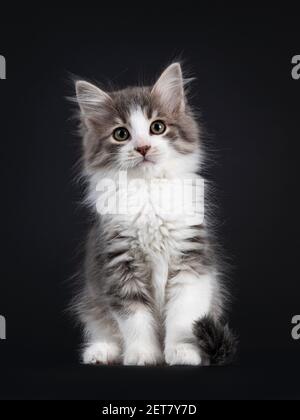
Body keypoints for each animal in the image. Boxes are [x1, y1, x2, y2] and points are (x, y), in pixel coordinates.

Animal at [72, 62, 237, 364]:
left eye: (157, 127)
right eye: (121, 134)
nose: (143, 147)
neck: (149, 192)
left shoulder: (191, 261)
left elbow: (183, 316)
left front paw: (182, 351)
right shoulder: (119, 264)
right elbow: (134, 319)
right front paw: (142, 354)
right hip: (93, 300)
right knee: (105, 328)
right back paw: (101, 351)